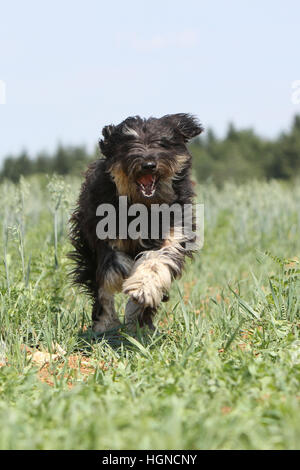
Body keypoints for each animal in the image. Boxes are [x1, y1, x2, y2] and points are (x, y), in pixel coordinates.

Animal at [69, 114, 203, 332]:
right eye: (129, 144)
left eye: (162, 143)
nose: (148, 164)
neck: (144, 206)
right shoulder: (103, 228)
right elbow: (111, 263)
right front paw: (120, 273)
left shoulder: (174, 231)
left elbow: (156, 261)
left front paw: (142, 288)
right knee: (100, 290)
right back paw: (105, 323)